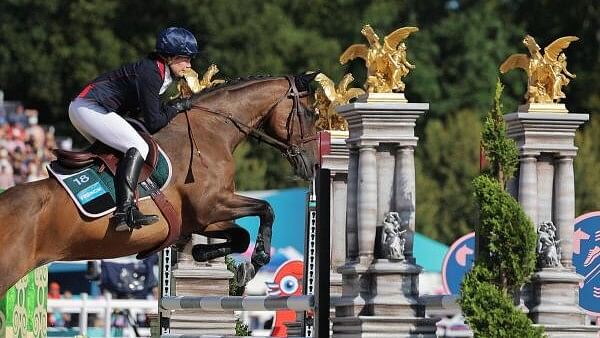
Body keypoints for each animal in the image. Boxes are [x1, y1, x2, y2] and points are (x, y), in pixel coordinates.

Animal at [0, 72, 318, 298]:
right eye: (309, 114)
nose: (314, 164)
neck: (211, 131)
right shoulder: (212, 205)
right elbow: (266, 208)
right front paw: (255, 261)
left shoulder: (201, 219)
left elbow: (241, 235)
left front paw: (208, 256)